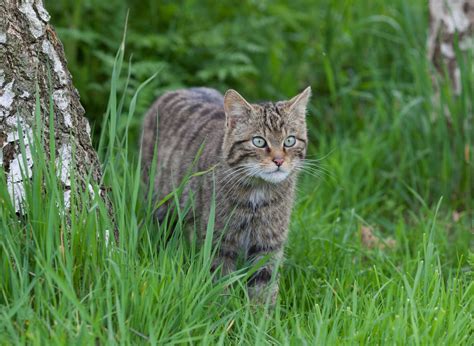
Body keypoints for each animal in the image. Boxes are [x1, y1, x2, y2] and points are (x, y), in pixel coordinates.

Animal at [141, 86, 312, 302]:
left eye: (289, 141)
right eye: (258, 141)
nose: (279, 160)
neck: (258, 193)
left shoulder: (268, 244)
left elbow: (264, 287)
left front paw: (260, 312)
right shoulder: (219, 242)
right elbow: (221, 282)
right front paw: (224, 307)